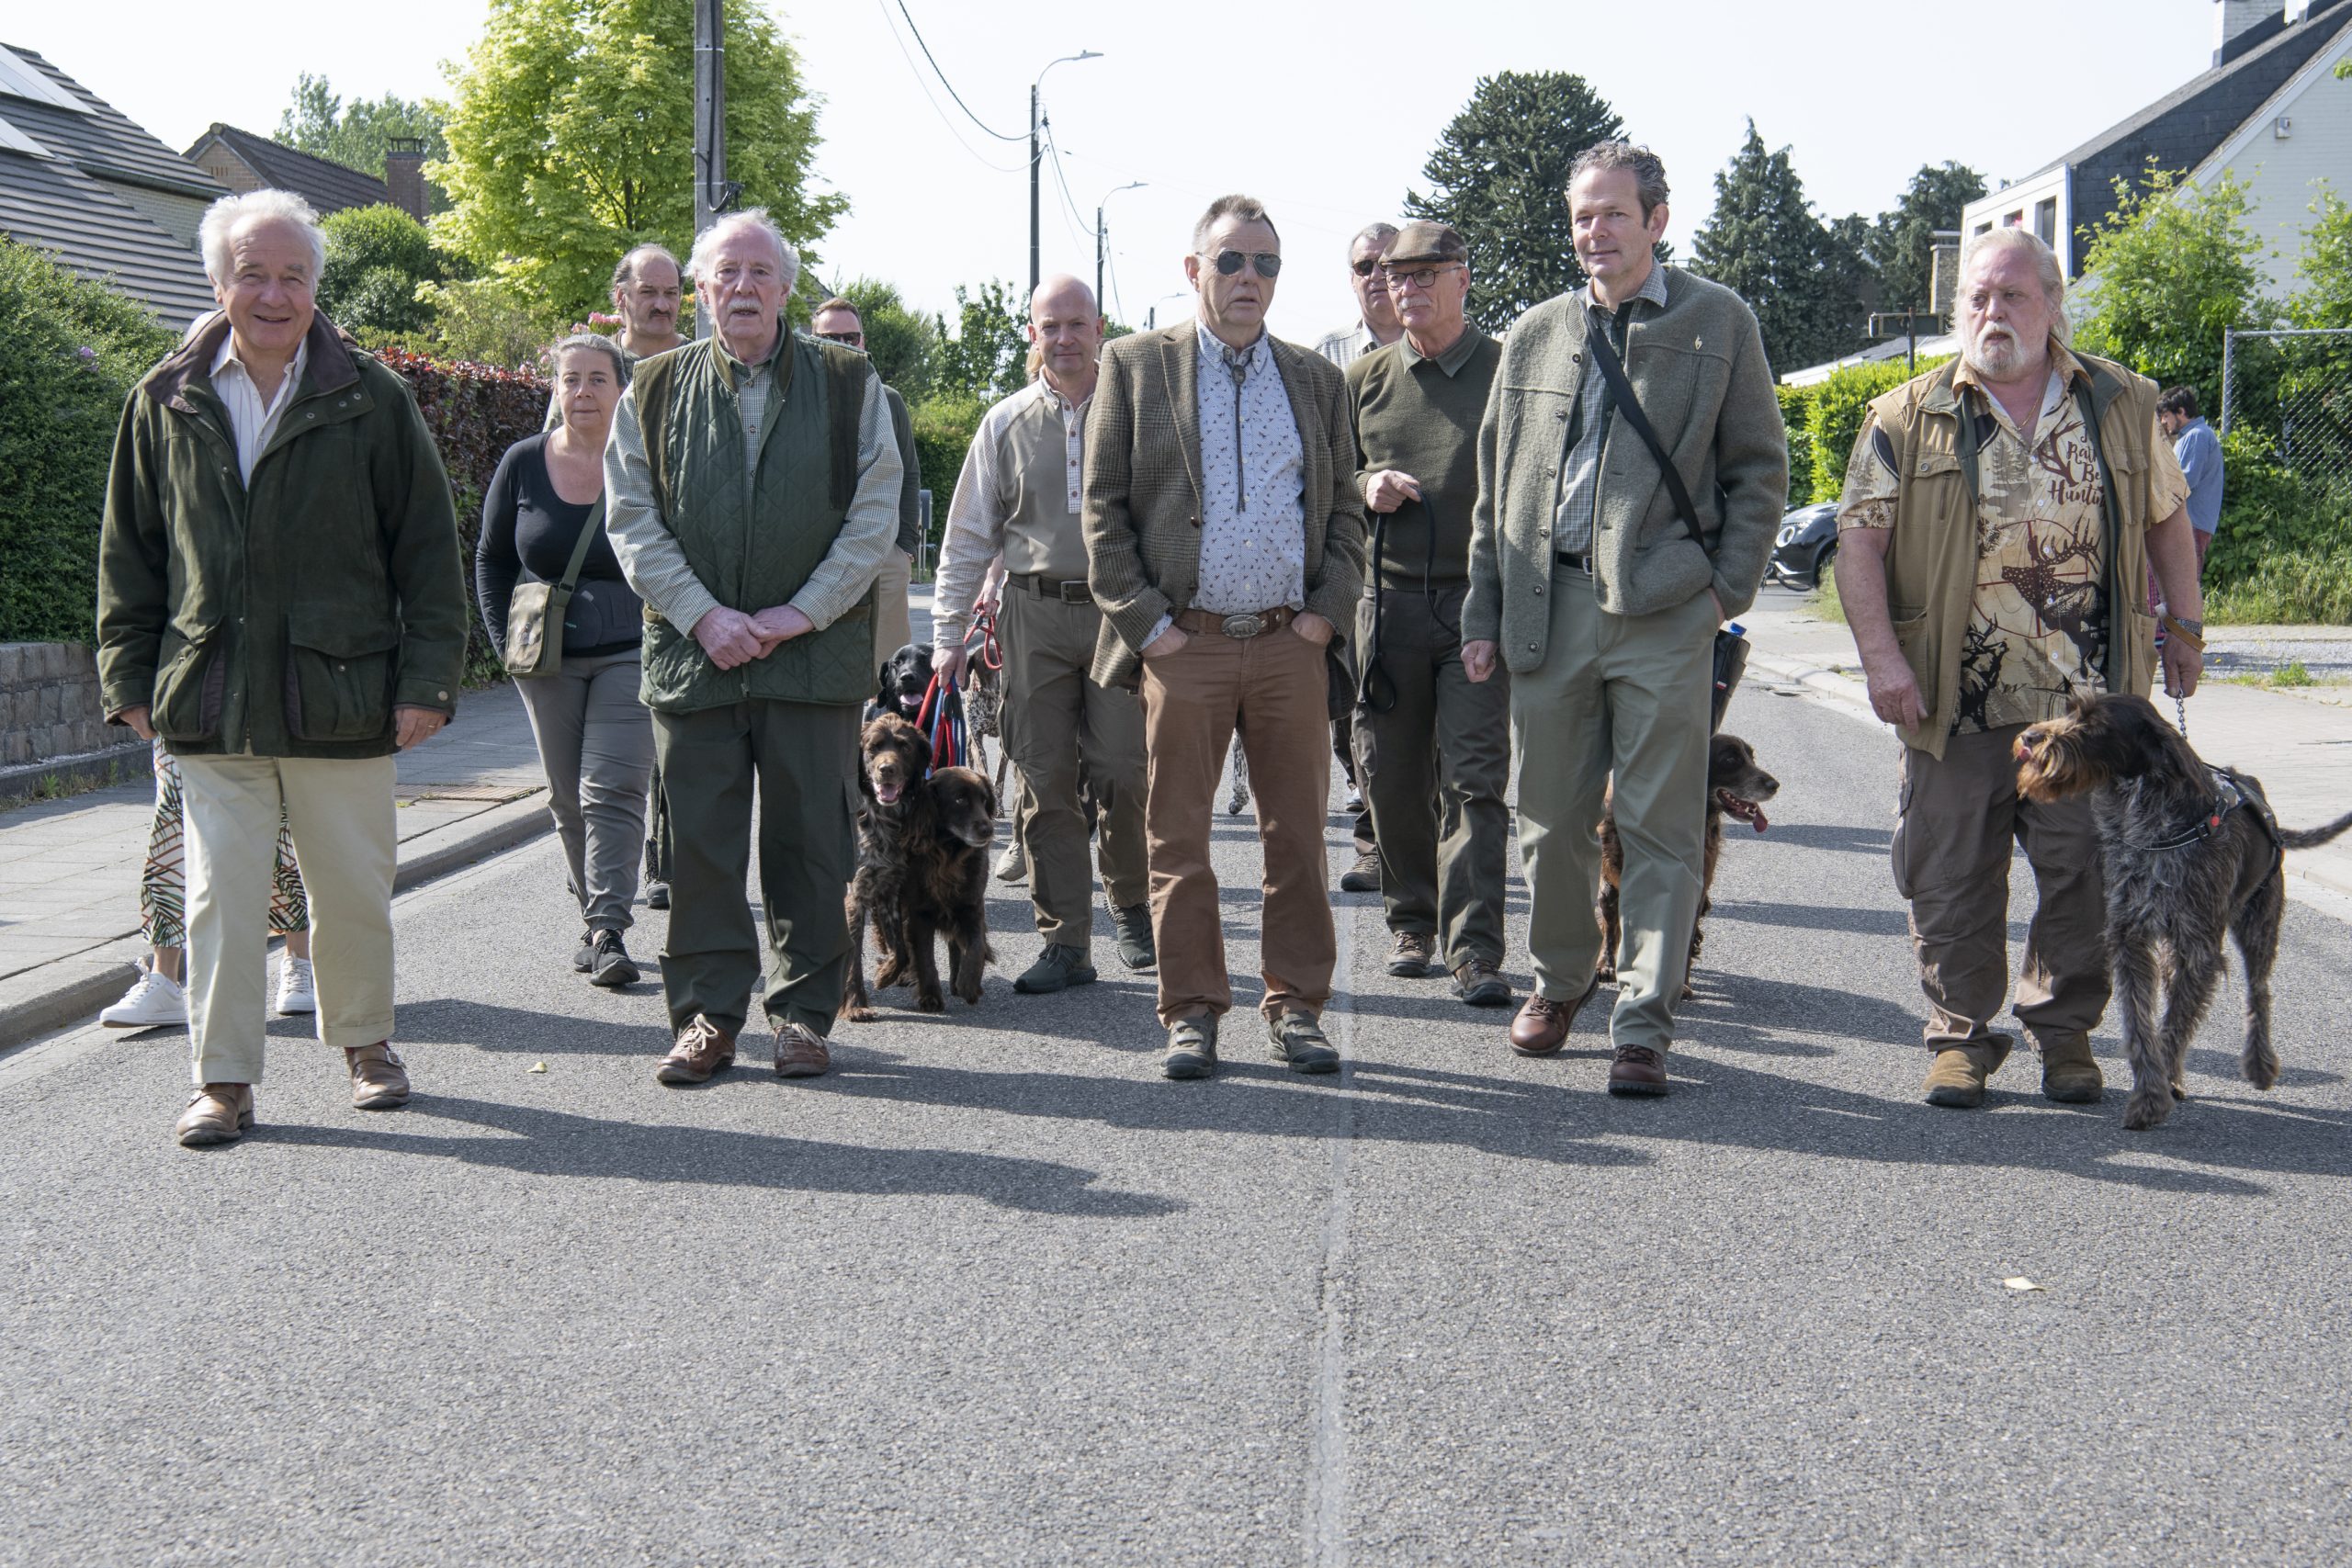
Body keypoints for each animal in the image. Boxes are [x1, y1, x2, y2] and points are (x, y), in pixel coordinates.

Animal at [2013, 695, 2352, 1128]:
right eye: (2070, 710)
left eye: (2094, 723)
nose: (2029, 736)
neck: (2151, 830)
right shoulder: (2130, 942)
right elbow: (2142, 1027)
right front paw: (2152, 1089)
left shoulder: (2198, 949)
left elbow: (2172, 1027)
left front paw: (2152, 1097)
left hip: (2258, 924)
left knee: (2258, 993)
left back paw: (2259, 1065)